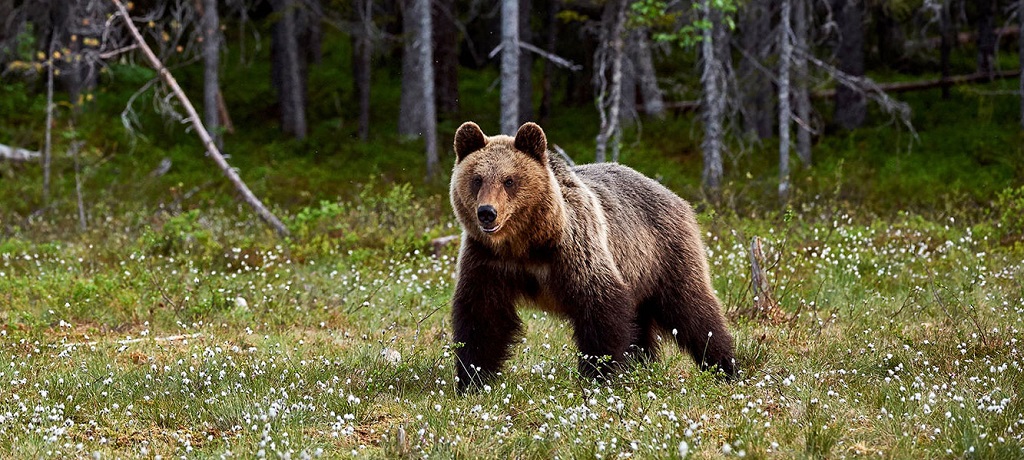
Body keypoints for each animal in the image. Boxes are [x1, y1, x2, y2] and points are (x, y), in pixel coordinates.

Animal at [452, 121, 733, 387]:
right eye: (477, 179)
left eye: (509, 180)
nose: (487, 212)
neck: (525, 244)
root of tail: (672, 194)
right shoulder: (488, 260)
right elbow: (482, 316)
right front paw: (472, 378)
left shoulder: (574, 250)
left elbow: (600, 307)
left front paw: (598, 373)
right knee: (643, 323)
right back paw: (644, 364)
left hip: (665, 253)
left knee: (691, 308)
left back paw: (724, 366)